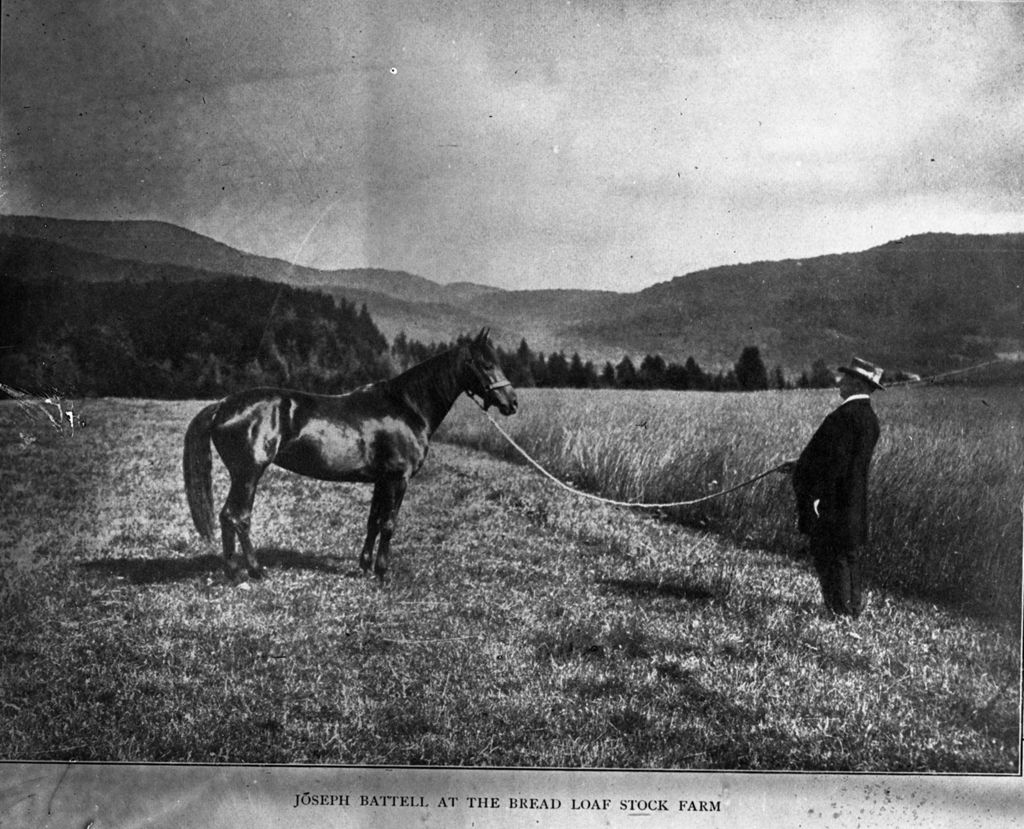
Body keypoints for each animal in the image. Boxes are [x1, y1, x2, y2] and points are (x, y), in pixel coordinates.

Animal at [181, 325, 516, 577]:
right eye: (486, 364)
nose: (511, 403)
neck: (406, 406)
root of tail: (223, 405)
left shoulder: (382, 480)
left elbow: (374, 521)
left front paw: (365, 566)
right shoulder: (398, 479)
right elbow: (389, 524)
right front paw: (382, 572)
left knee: (228, 518)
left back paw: (234, 571)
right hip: (248, 474)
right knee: (237, 517)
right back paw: (252, 571)